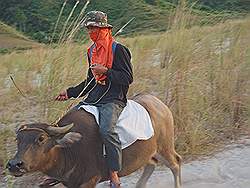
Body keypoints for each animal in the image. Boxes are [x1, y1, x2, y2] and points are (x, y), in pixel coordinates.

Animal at [6, 94, 182, 188]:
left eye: (41, 138)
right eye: (18, 139)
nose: (15, 164)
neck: (68, 151)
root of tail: (159, 103)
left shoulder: (89, 181)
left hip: (165, 147)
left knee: (175, 163)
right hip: (148, 152)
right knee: (151, 164)